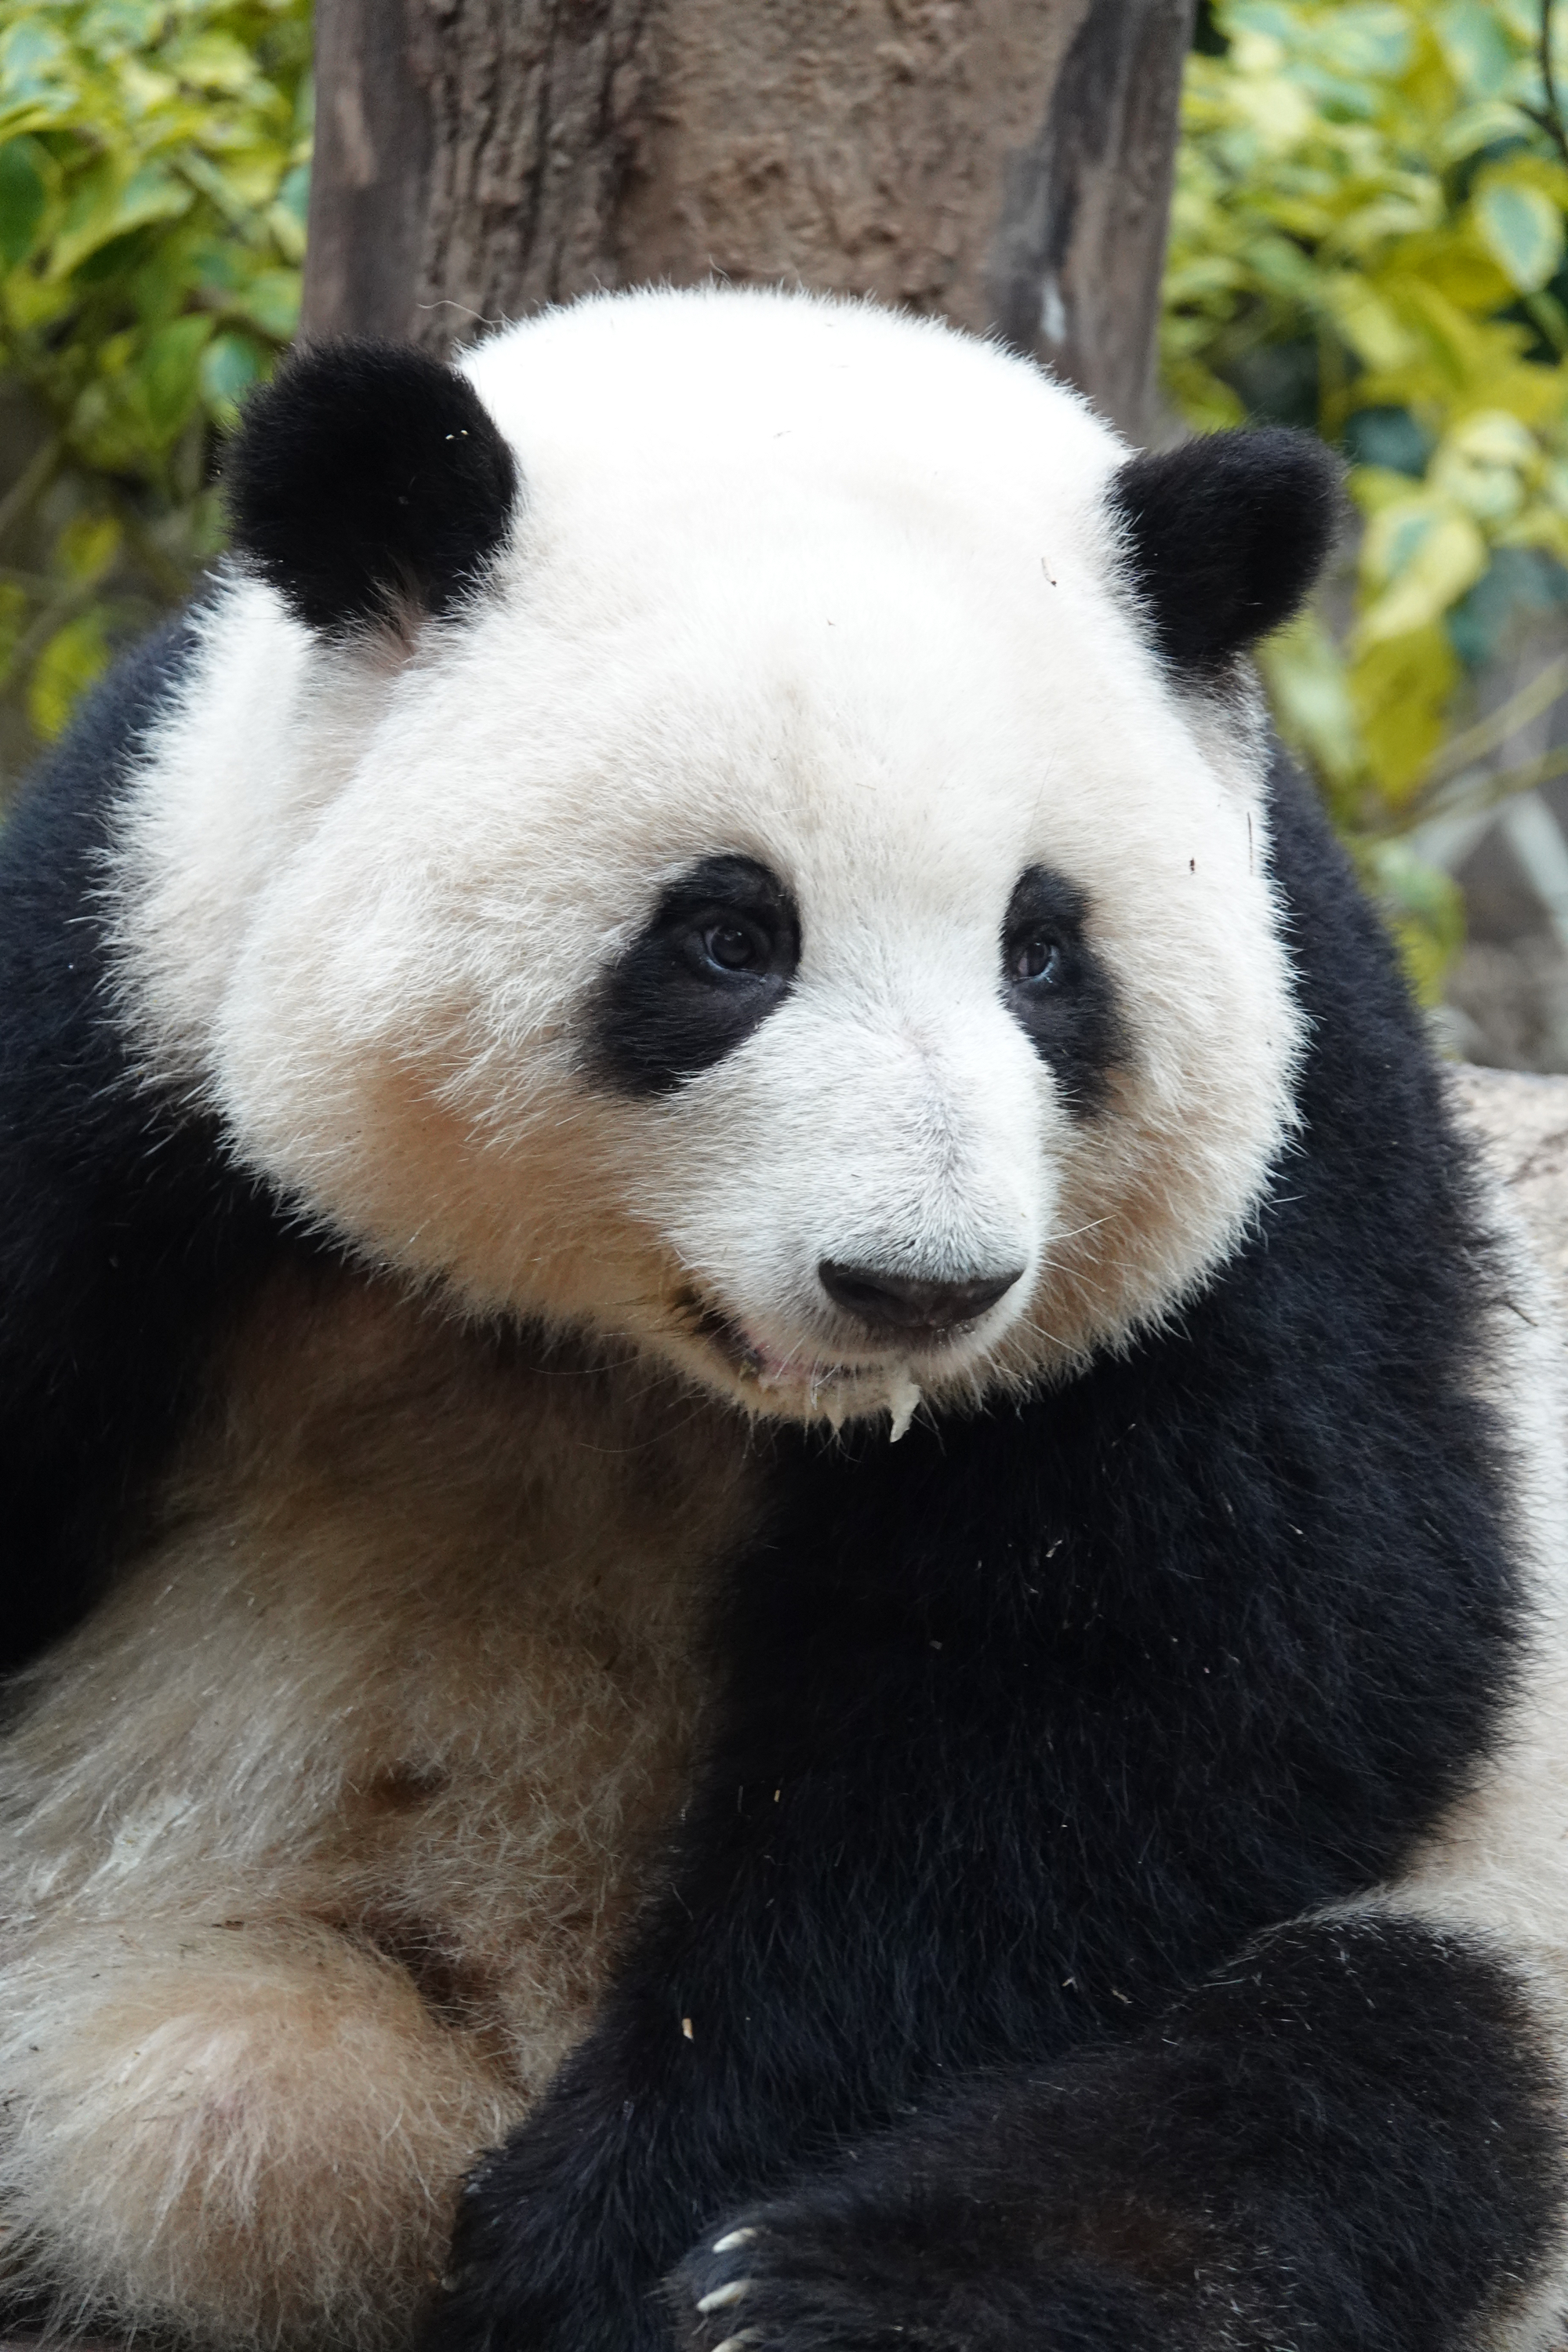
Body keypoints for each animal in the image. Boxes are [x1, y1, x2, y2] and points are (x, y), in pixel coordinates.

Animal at [2, 285, 1568, 2352]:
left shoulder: (1280, 1174)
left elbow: (1201, 1666)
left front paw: (613, 2230)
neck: (624, 1351)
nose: (920, 1285)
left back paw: (835, 2288)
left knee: (1370, 2080)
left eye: (1043, 951)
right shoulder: (130, 1005)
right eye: (728, 935)